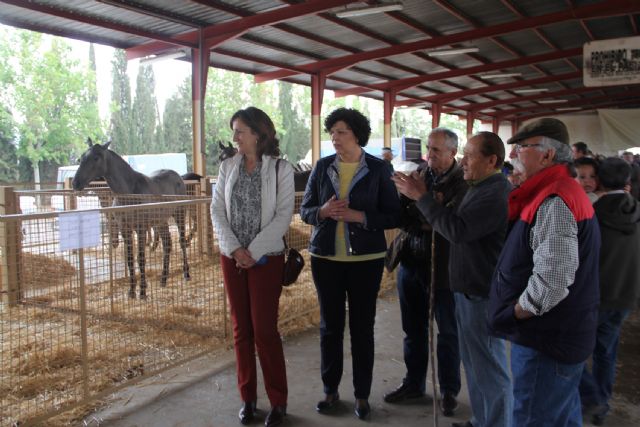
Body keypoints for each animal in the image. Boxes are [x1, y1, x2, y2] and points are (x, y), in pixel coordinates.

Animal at [72, 139, 190, 300]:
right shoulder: (125, 230)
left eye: (96, 157)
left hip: (179, 214)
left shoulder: (140, 229)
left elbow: (140, 258)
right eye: (82, 157)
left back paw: (186, 273)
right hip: (161, 221)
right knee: (167, 245)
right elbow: (129, 258)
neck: (129, 192)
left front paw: (143, 291)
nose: (75, 183)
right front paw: (132, 291)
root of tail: (178, 177)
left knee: (182, 242)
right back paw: (163, 279)